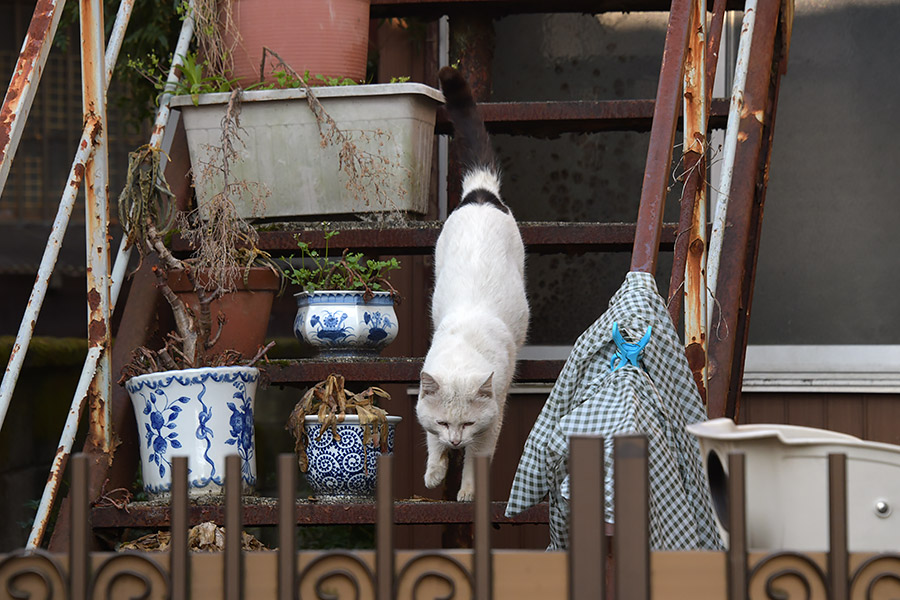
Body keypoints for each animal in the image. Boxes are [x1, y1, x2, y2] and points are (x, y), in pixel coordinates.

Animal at [414, 67, 528, 502]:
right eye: (445, 423)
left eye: (467, 424)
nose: (456, 441)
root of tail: (480, 193)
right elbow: (430, 444)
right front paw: (434, 472)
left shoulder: (495, 415)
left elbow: (479, 459)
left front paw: (465, 492)